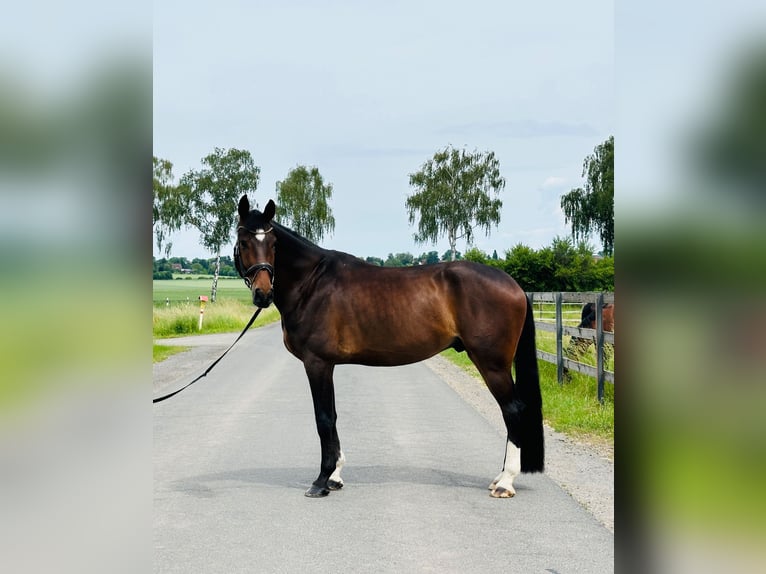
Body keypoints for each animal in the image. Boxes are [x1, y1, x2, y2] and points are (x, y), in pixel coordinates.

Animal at [234, 196, 544, 498]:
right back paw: (499, 478)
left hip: (493, 364)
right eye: (244, 241)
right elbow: (332, 416)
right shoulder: (327, 364)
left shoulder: (317, 362)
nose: (263, 294)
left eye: (273, 244)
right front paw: (335, 476)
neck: (312, 283)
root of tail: (514, 285)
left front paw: (321, 481)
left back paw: (506, 482)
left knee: (512, 410)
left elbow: (323, 418)